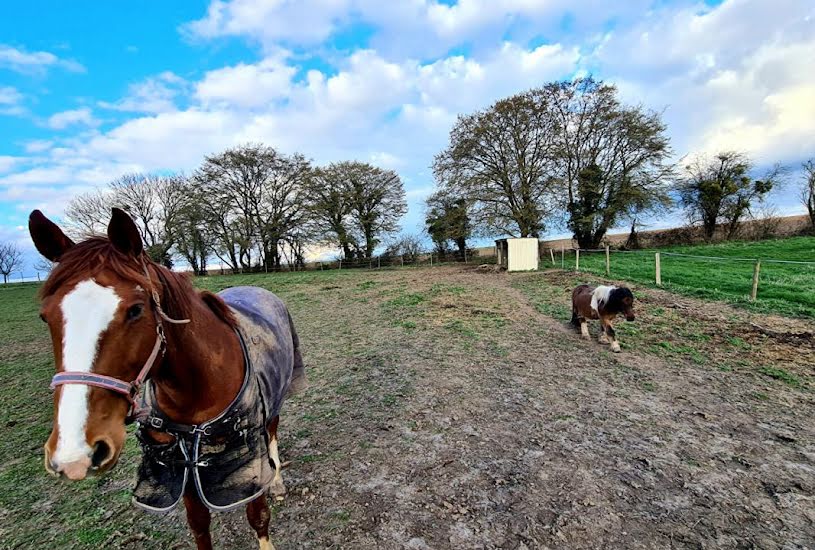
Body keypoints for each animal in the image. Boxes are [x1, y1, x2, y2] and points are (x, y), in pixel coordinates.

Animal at [28, 208, 304, 550]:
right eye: (45, 316)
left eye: (135, 310)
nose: (74, 453)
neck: (198, 392)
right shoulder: (178, 465)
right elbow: (199, 524)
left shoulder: (250, 461)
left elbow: (258, 517)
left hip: (277, 400)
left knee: (273, 435)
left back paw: (277, 482)